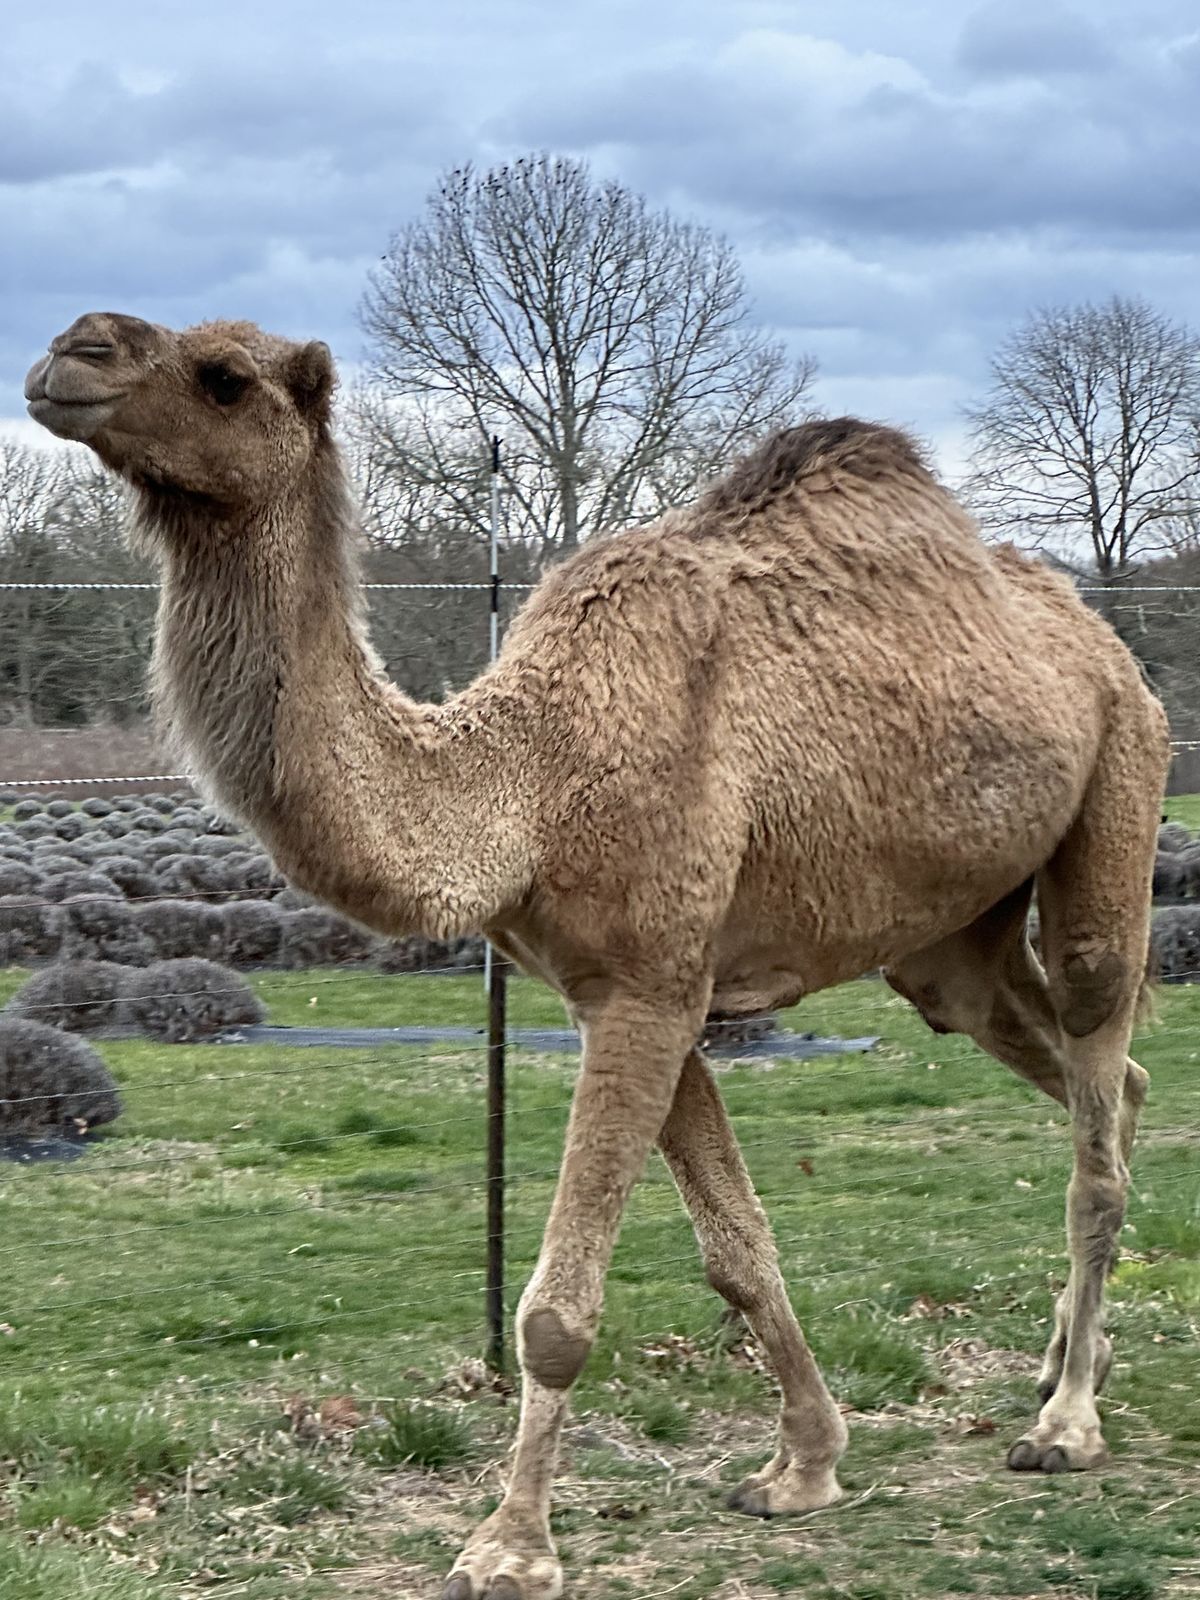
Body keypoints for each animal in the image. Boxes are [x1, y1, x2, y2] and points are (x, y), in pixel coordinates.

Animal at [26, 313, 1169, 1600]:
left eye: (222, 378)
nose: (70, 353)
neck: (529, 778)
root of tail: (1097, 640)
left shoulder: (652, 983)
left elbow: (556, 1313)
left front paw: (509, 1545)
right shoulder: (624, 989)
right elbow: (737, 1247)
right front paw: (804, 1463)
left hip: (1121, 781)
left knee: (1096, 1068)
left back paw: (1065, 1424)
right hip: (947, 942)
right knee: (1100, 1074)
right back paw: (1065, 1362)